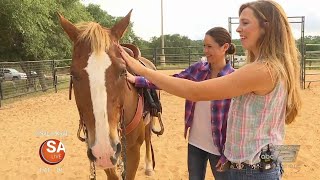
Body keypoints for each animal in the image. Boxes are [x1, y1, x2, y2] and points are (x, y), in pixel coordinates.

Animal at [57, 10, 162, 180]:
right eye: (73, 74)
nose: (104, 150)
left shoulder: (133, 150)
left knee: (148, 138)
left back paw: (148, 167)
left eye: (123, 71)